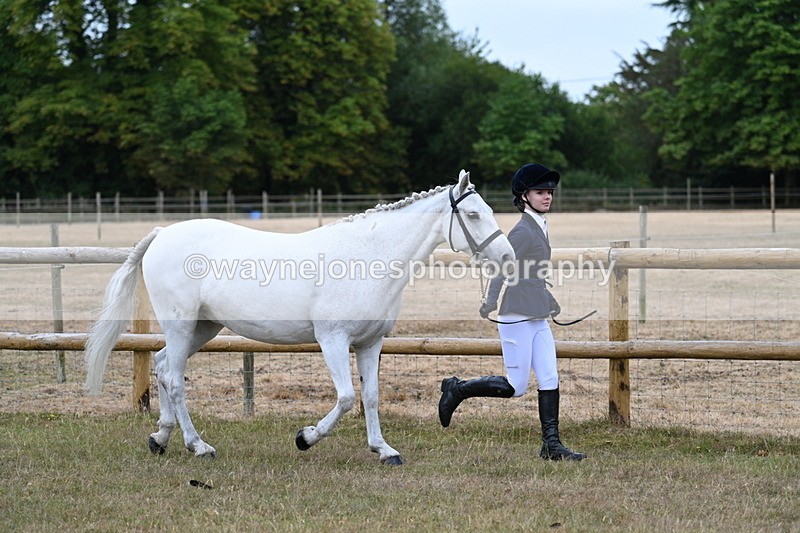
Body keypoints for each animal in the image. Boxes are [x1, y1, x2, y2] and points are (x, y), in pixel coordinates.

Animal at [84, 170, 514, 465]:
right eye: (473, 214)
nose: (508, 257)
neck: (368, 257)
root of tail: (162, 233)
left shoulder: (370, 344)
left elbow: (371, 396)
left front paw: (384, 450)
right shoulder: (333, 340)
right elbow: (346, 397)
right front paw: (305, 437)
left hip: (202, 328)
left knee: (161, 366)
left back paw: (161, 438)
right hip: (181, 324)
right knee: (174, 379)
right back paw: (199, 446)